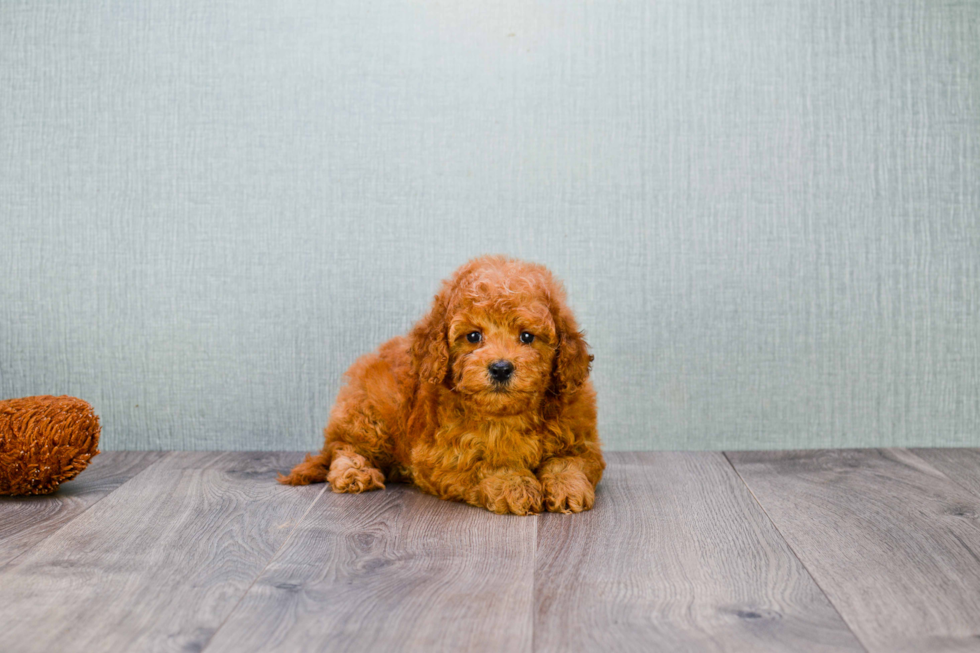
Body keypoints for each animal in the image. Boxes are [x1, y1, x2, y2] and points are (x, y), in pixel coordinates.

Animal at [280, 255, 604, 516]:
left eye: (527, 336)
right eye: (473, 336)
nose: (500, 368)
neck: (506, 414)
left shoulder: (583, 441)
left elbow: (570, 461)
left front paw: (567, 487)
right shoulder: (444, 456)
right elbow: (486, 464)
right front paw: (514, 485)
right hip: (368, 414)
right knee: (342, 447)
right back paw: (354, 472)